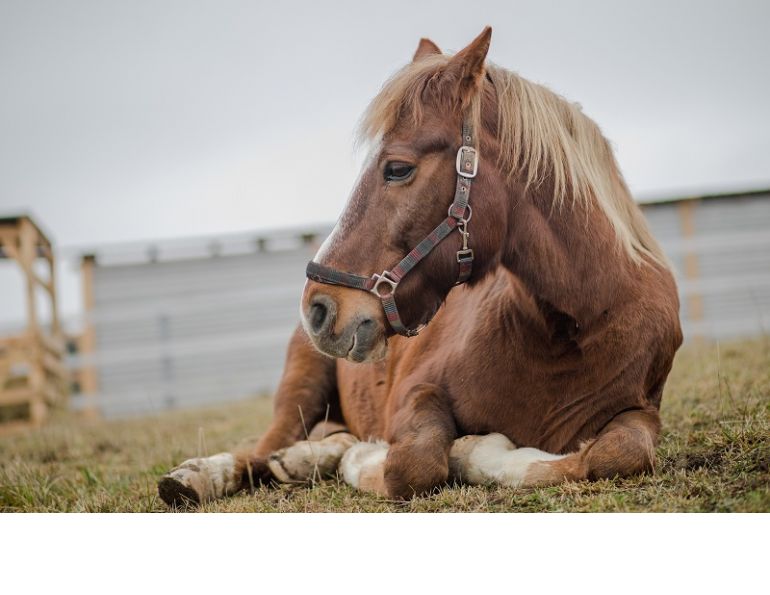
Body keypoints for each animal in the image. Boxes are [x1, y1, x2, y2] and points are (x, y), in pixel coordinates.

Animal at [158, 26, 682, 506]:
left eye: (397, 168)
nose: (319, 308)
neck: (569, 328)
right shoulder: (415, 391)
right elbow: (415, 463)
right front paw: (383, 457)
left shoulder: (640, 410)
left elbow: (617, 454)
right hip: (300, 388)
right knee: (259, 451)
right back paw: (201, 476)